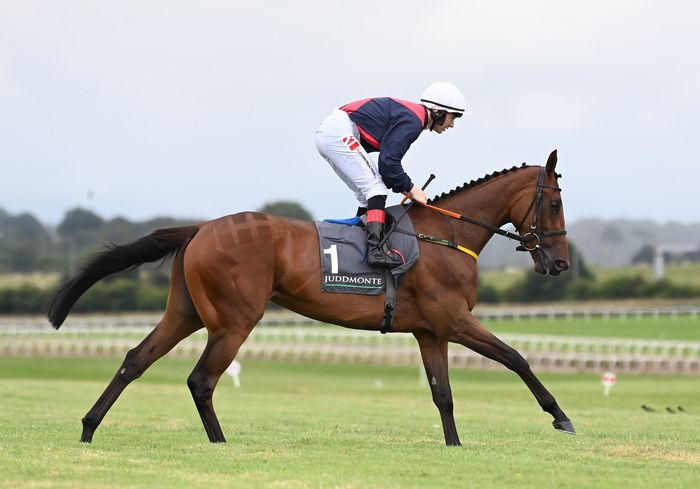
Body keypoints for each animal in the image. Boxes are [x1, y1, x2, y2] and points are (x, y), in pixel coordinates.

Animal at [47, 148, 576, 442]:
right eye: (553, 203)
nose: (560, 264)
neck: (445, 236)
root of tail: (200, 228)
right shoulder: (454, 320)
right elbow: (516, 358)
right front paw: (560, 417)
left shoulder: (431, 332)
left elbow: (442, 394)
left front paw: (455, 446)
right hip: (234, 320)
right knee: (201, 380)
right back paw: (220, 442)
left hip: (186, 311)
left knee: (135, 359)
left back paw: (89, 427)